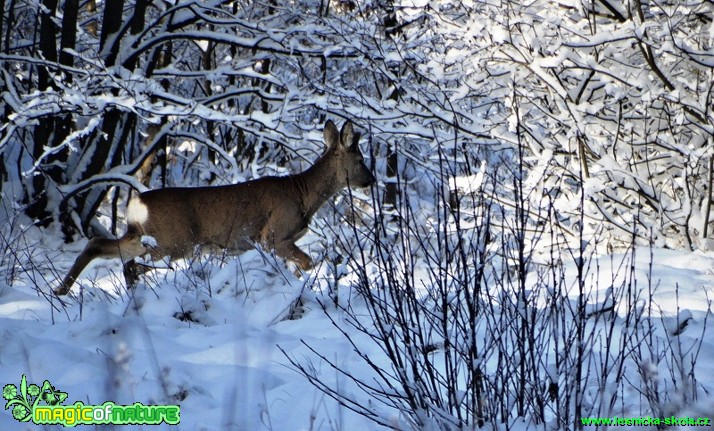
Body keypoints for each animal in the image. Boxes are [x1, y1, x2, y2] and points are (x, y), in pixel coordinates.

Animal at [57, 121, 372, 296]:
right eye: (360, 160)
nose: (372, 179)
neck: (302, 193)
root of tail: (136, 204)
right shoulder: (273, 235)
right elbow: (307, 263)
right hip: (174, 241)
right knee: (131, 264)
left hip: (143, 236)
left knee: (99, 245)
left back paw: (61, 290)